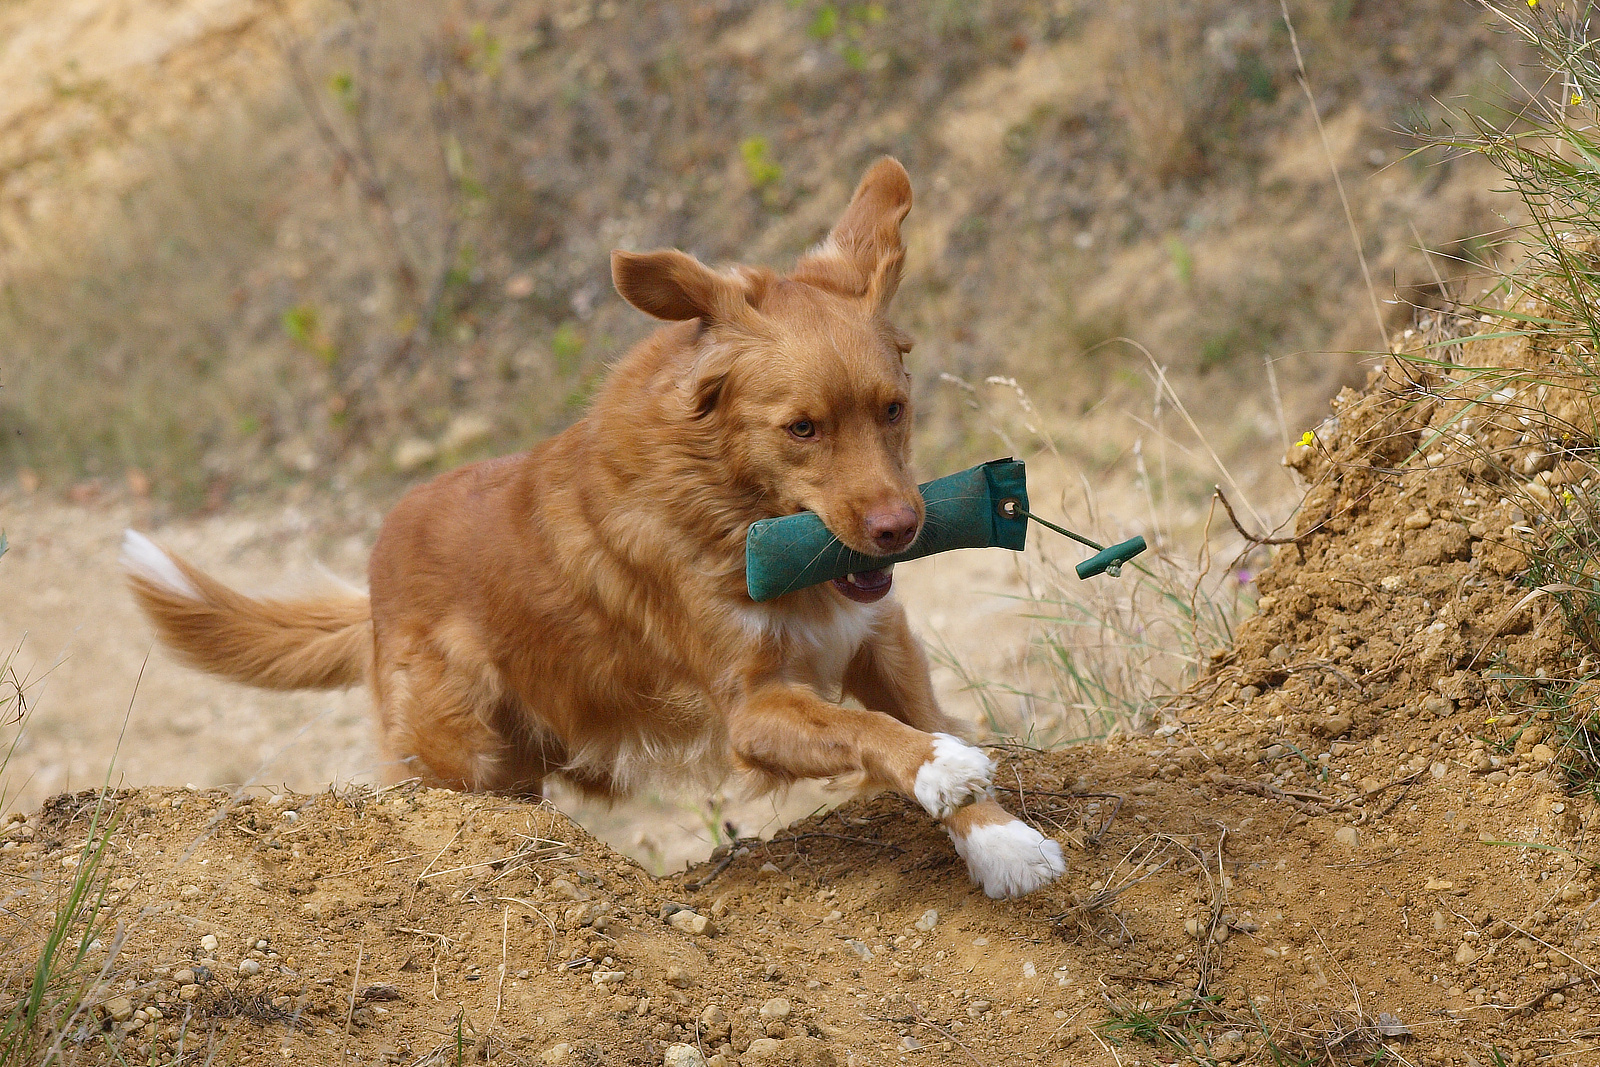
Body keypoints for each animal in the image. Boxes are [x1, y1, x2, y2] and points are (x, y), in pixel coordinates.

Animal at [124, 156, 1068, 895]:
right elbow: (873, 732)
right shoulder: (751, 709)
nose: (901, 527)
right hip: (454, 758)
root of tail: (375, 579)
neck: (730, 504)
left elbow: (915, 715)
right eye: (802, 428)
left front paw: (1001, 842)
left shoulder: (882, 635)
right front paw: (943, 769)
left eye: (894, 409)